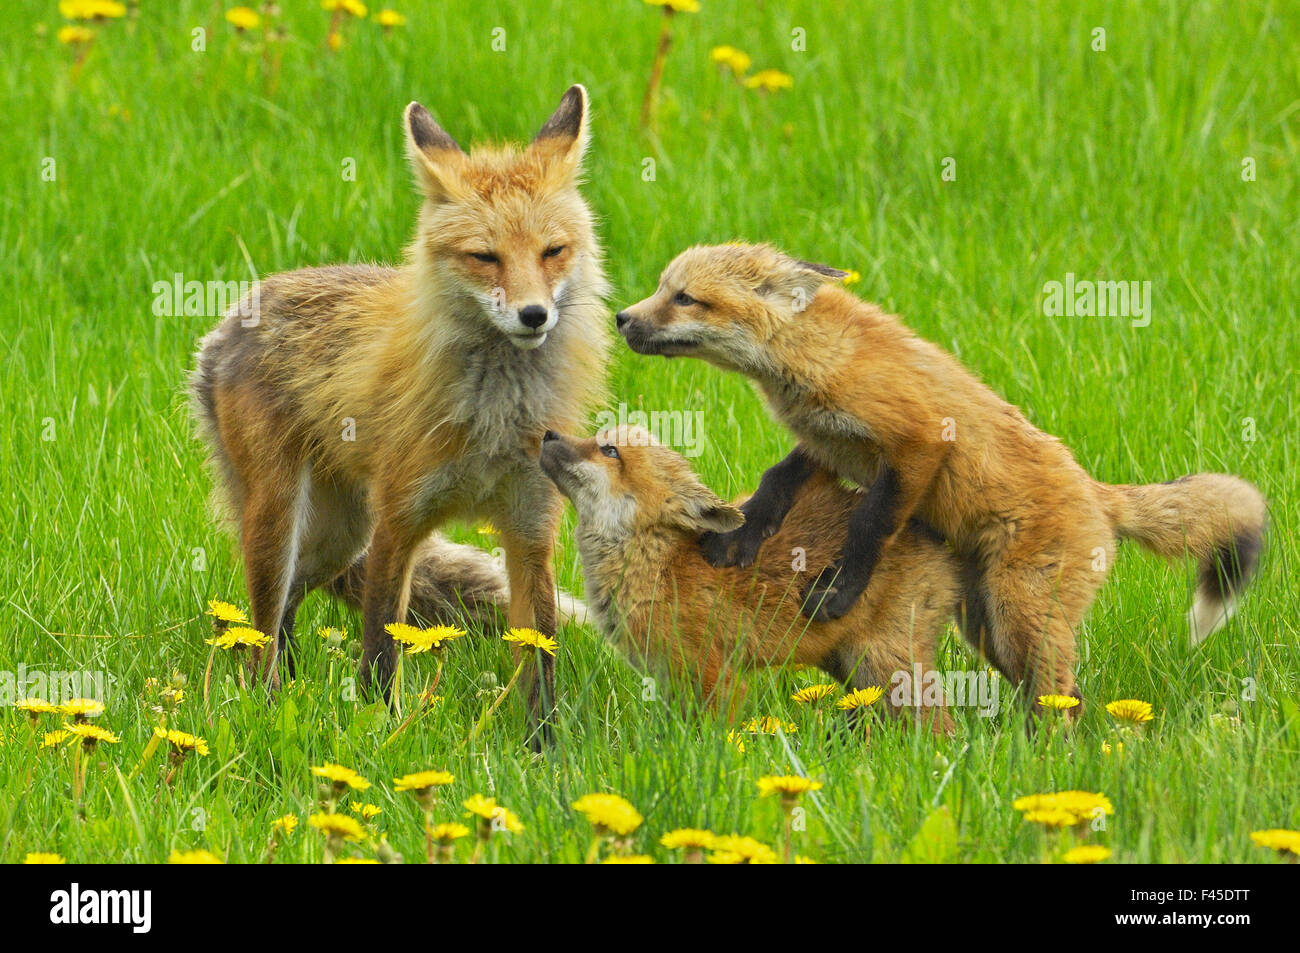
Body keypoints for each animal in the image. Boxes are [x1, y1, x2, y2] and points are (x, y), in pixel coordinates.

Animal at [191, 86, 609, 741]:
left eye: (552, 252)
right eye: (485, 257)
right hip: (285, 519)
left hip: (338, 536)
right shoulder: (398, 521)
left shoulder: (529, 531)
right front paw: (379, 730)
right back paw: (268, 702)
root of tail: (232, 316)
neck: (493, 415)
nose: (534, 315)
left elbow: (538, 661)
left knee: (288, 611)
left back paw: (289, 694)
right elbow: (380, 648)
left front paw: (544, 752)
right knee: (262, 631)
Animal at [534, 424, 962, 731]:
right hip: (849, 669)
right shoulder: (670, 680)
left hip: (883, 665)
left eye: (609, 451)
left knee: (939, 728)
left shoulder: (715, 674)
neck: (659, 566)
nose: (548, 433)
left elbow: (713, 740)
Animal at [614, 242, 1267, 708]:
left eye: (685, 298)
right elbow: (777, 481)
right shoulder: (829, 440)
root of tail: (1098, 494)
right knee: (1059, 695)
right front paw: (740, 540)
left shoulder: (919, 440)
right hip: (988, 628)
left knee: (1063, 697)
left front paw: (840, 591)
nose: (621, 318)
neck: (816, 359)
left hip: (1021, 615)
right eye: (662, 290)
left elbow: (871, 526)